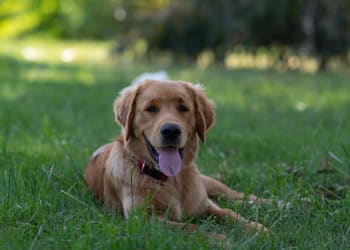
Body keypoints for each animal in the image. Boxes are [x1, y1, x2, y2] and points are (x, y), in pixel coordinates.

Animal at [85, 79, 270, 235]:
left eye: (183, 108)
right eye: (151, 108)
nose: (171, 130)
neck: (170, 179)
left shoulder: (204, 204)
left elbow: (228, 213)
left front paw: (258, 229)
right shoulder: (144, 219)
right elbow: (191, 228)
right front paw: (222, 239)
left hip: (209, 183)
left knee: (234, 196)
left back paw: (271, 202)